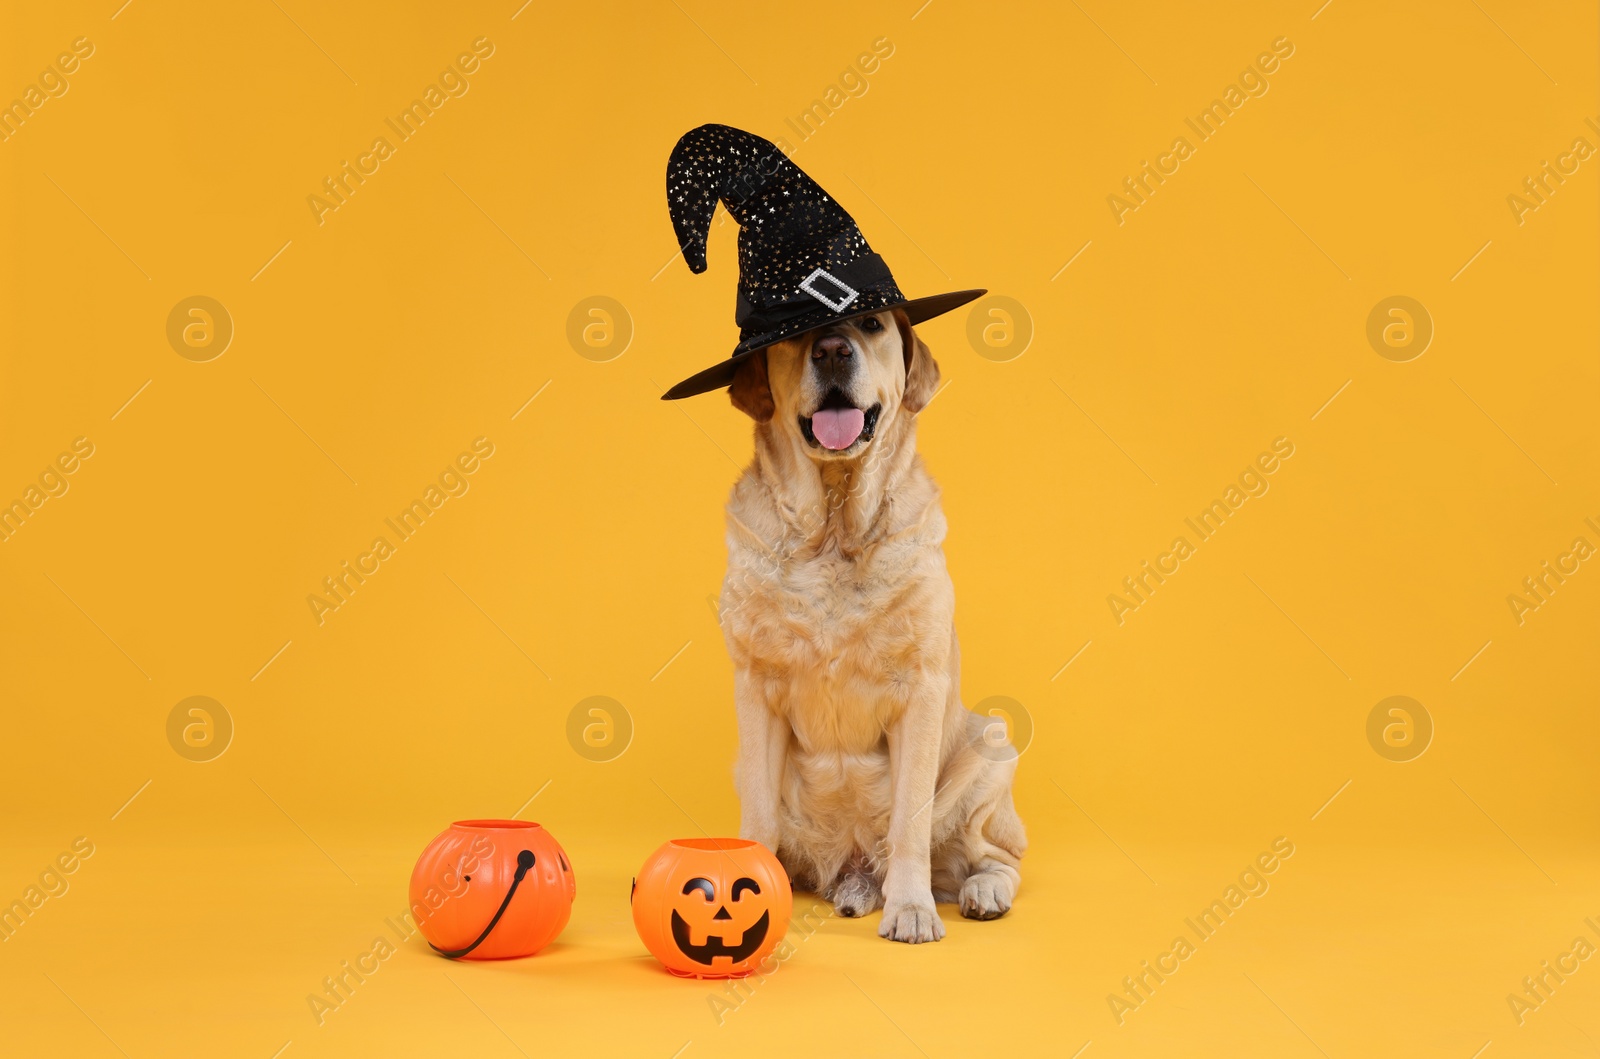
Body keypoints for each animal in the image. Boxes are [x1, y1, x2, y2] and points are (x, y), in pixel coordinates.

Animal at [716, 307, 1024, 947]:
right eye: (795, 338)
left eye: (872, 323)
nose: (833, 350)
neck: (835, 530)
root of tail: (851, 868)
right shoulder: (755, 689)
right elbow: (758, 815)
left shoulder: (921, 690)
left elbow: (910, 823)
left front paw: (910, 907)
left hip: (992, 746)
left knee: (995, 859)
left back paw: (981, 893)